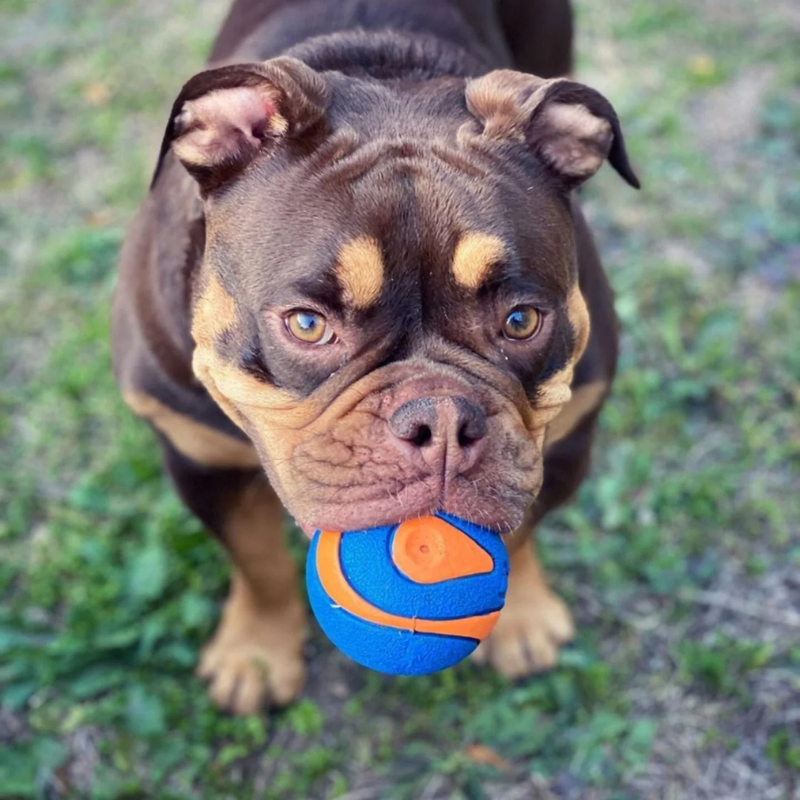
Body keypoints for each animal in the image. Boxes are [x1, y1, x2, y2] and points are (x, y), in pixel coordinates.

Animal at [111, 0, 636, 712]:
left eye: (521, 320)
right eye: (307, 325)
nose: (441, 419)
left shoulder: (564, 440)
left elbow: (523, 529)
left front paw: (522, 621)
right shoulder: (200, 457)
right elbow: (258, 561)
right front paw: (255, 654)